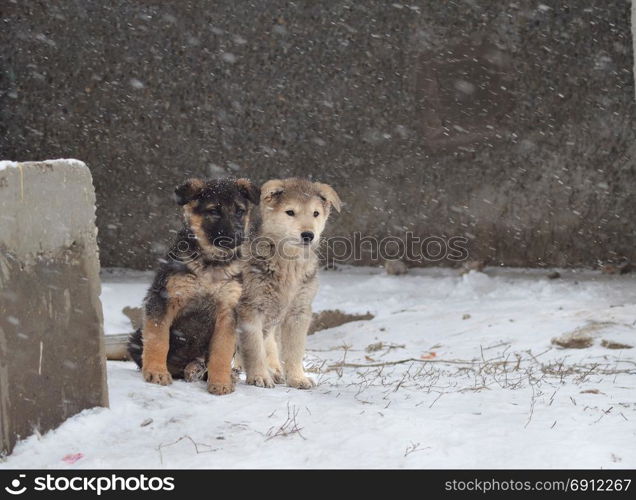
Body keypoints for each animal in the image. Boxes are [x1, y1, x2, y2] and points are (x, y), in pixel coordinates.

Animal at [128, 177, 260, 394]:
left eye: (240, 211)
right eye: (214, 211)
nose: (237, 236)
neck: (211, 264)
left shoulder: (228, 311)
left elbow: (221, 351)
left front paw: (220, 382)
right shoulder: (163, 299)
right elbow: (158, 339)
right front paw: (156, 372)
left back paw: (208, 371)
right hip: (135, 338)